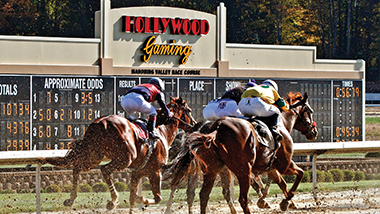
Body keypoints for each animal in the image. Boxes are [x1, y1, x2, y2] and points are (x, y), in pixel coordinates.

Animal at [42, 96, 196, 212]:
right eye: (189, 110)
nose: (194, 124)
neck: (161, 130)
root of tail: (99, 123)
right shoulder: (155, 171)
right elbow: (157, 198)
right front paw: (142, 198)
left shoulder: (137, 173)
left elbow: (132, 198)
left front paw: (137, 198)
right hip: (125, 158)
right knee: (105, 169)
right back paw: (113, 200)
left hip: (93, 157)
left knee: (77, 168)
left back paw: (70, 199)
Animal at [166, 92, 318, 214]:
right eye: (310, 111)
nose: (314, 131)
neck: (281, 123)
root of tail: (217, 127)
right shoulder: (284, 164)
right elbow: (300, 174)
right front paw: (285, 201)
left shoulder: (271, 166)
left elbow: (282, 183)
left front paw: (283, 202)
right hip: (242, 169)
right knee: (241, 199)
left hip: (212, 169)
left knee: (203, 195)